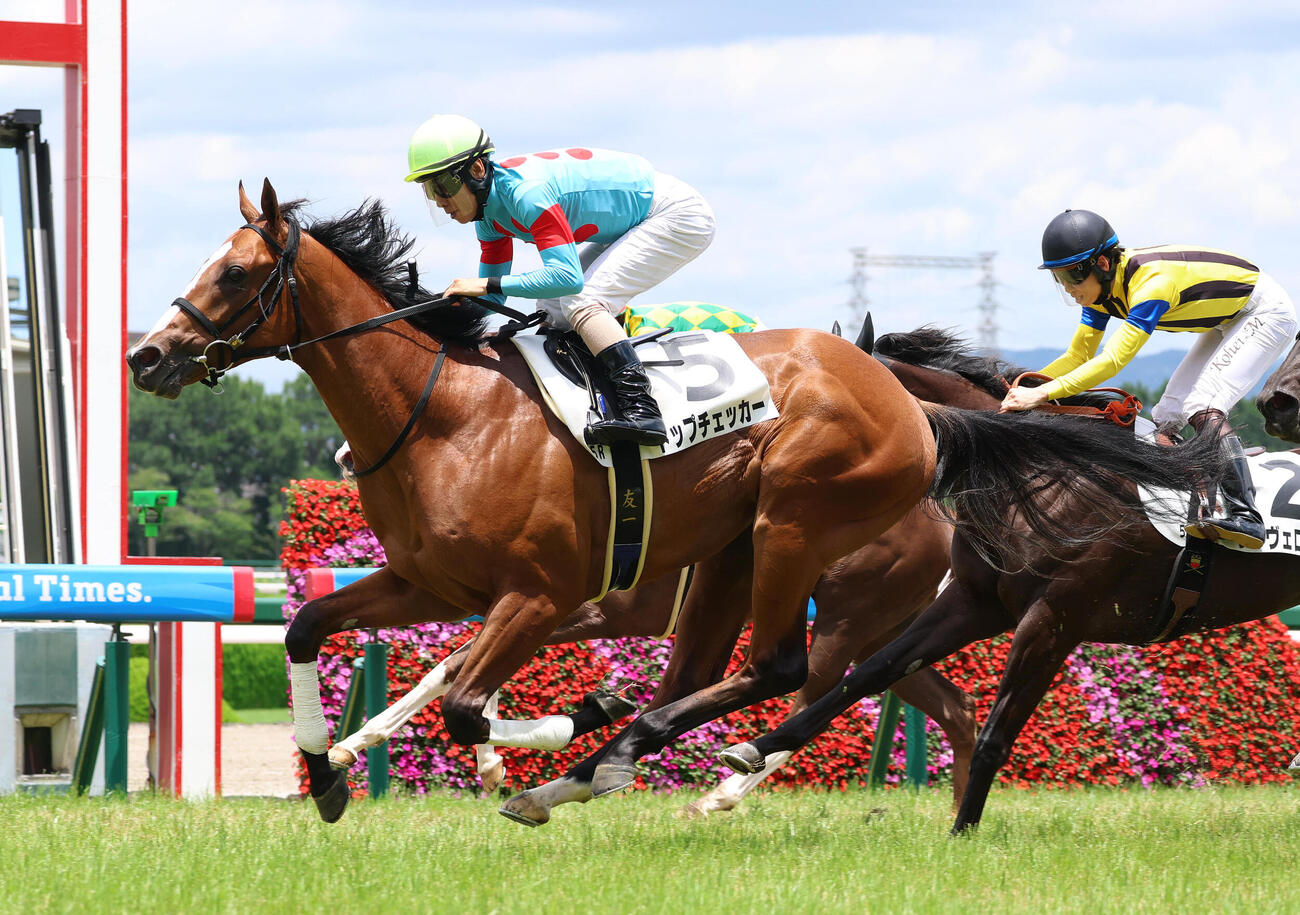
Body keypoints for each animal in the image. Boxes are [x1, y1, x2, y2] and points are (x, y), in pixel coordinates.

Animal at [125, 182, 1225, 827]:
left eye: (235, 271)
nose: (148, 356)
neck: (443, 414)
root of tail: (909, 403)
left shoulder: (540, 595)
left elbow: (471, 704)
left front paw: (547, 744)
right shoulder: (424, 582)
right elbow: (310, 627)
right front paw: (327, 772)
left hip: (799, 526)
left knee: (787, 668)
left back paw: (652, 761)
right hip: (742, 554)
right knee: (772, 678)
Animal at [720, 323, 1300, 834]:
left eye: (815, 404)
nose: (755, 469)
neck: (1036, 472)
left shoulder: (1054, 620)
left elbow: (997, 735)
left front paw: (962, 833)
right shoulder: (974, 602)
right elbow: (868, 675)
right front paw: (750, 752)